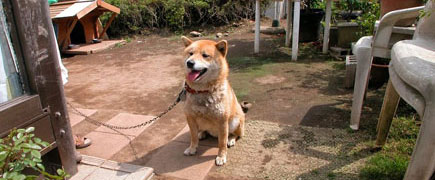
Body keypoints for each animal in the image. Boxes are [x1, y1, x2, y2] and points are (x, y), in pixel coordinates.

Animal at [181, 35, 249, 165]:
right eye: (190, 53)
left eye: (205, 55)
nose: (189, 63)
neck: (202, 91)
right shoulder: (190, 117)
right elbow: (193, 136)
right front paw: (192, 148)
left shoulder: (222, 120)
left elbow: (221, 143)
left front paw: (221, 156)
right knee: (202, 131)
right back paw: (202, 133)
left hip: (235, 121)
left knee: (235, 134)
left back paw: (231, 140)